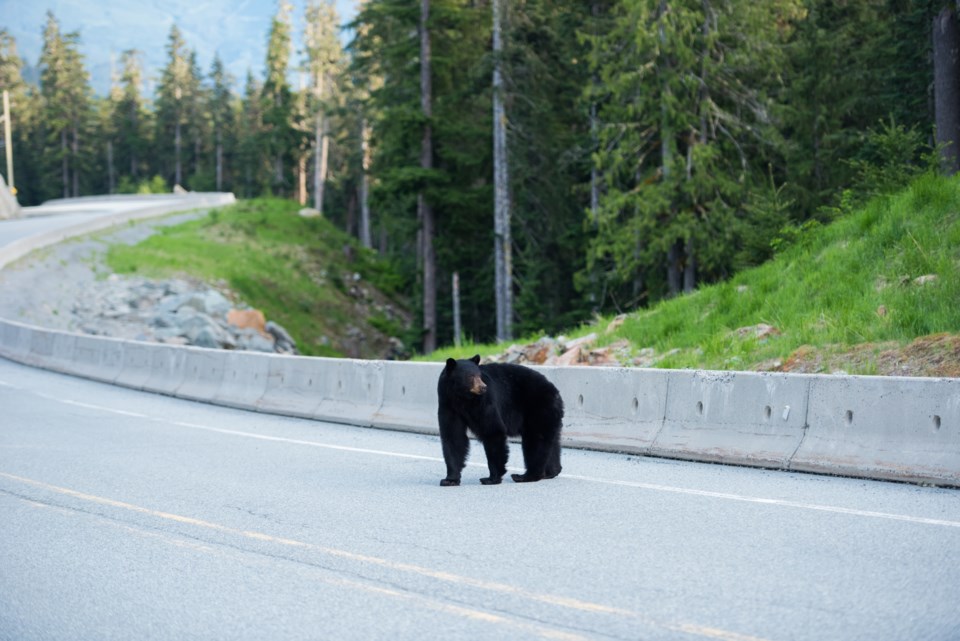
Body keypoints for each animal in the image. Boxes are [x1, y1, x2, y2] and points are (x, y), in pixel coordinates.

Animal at [436, 356, 564, 484]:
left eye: (479, 375)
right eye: (470, 376)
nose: (483, 387)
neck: (463, 399)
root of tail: (555, 391)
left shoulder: (484, 402)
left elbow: (493, 430)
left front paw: (491, 478)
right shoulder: (448, 405)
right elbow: (453, 437)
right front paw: (450, 479)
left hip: (538, 408)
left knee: (535, 440)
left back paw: (526, 476)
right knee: (552, 442)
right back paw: (551, 472)